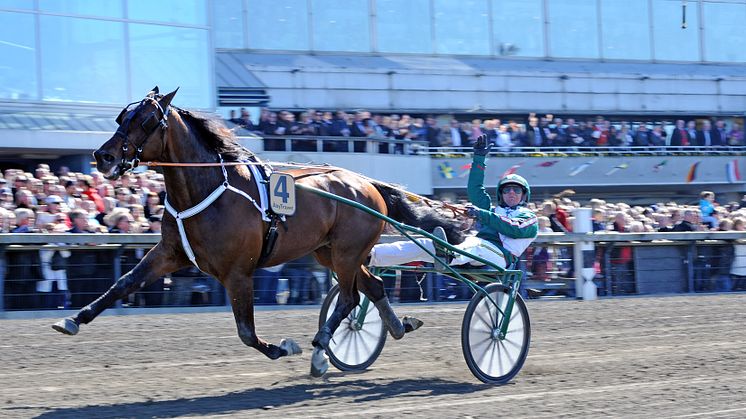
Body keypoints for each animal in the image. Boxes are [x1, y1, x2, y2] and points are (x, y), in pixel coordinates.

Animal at [52, 87, 462, 376]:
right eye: (123, 115)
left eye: (146, 120)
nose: (103, 156)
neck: (207, 189)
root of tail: (367, 183)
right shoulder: (169, 253)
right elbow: (122, 284)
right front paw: (72, 319)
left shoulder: (238, 272)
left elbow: (246, 332)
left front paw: (283, 347)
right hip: (330, 252)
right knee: (372, 287)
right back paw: (395, 326)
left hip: (347, 252)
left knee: (348, 299)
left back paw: (320, 349)